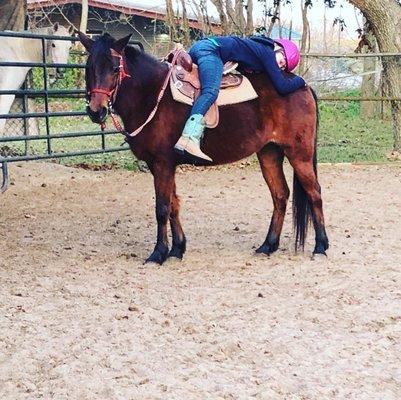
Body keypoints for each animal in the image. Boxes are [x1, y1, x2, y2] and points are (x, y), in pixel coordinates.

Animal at [78, 32, 328, 264]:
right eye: (89, 68)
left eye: (114, 68)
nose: (96, 111)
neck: (152, 94)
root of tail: (304, 86)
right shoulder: (164, 166)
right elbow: (174, 205)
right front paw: (177, 249)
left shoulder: (162, 164)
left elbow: (162, 208)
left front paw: (158, 253)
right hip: (269, 153)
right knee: (280, 195)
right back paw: (268, 245)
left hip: (299, 155)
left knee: (314, 193)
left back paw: (320, 247)